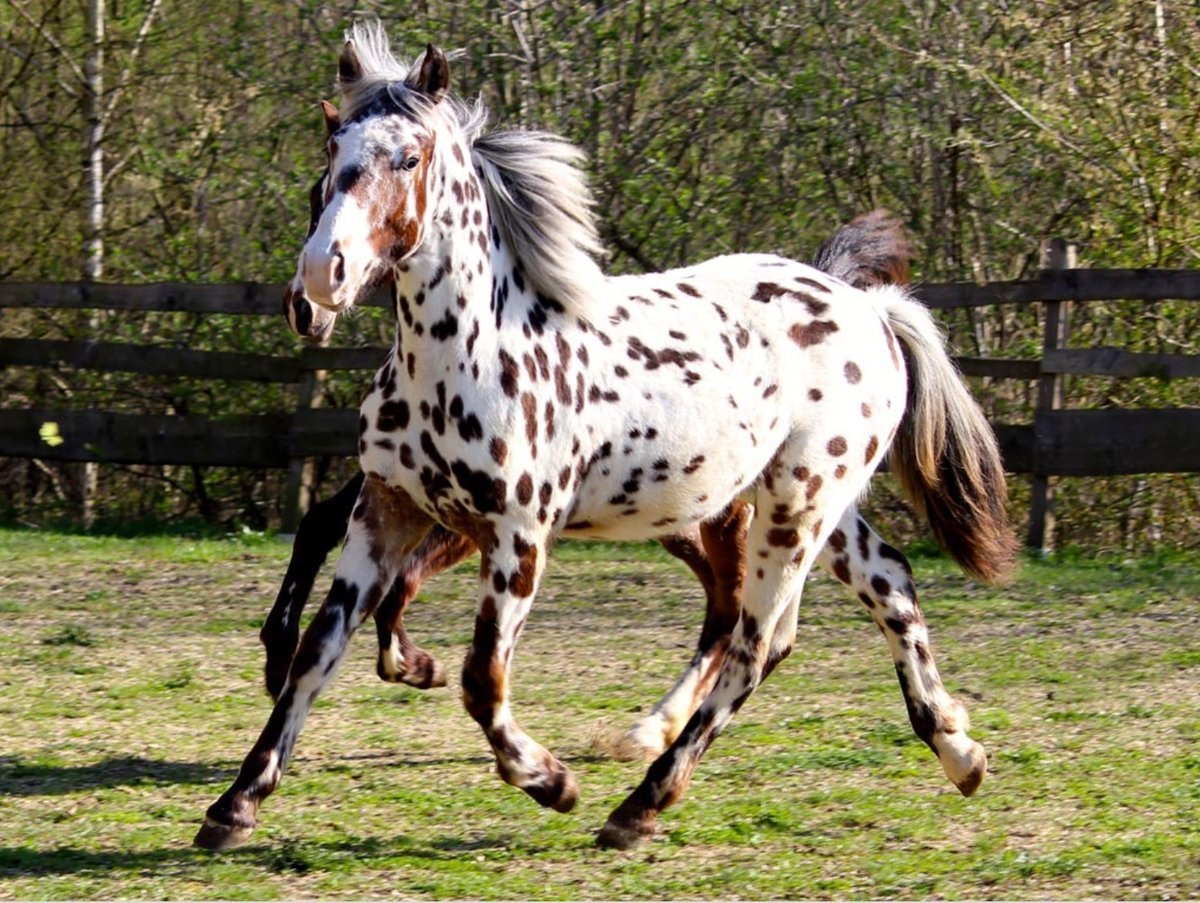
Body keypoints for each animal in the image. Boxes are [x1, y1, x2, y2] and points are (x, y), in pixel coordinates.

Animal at [194, 22, 1012, 854]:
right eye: (332, 157)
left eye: (409, 157)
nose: (318, 281)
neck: (466, 356)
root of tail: (867, 306)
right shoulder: (387, 511)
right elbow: (318, 651)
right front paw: (235, 803)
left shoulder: (518, 537)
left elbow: (480, 678)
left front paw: (550, 780)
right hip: (809, 506)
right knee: (886, 586)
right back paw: (959, 748)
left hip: (794, 510)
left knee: (753, 644)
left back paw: (642, 799)